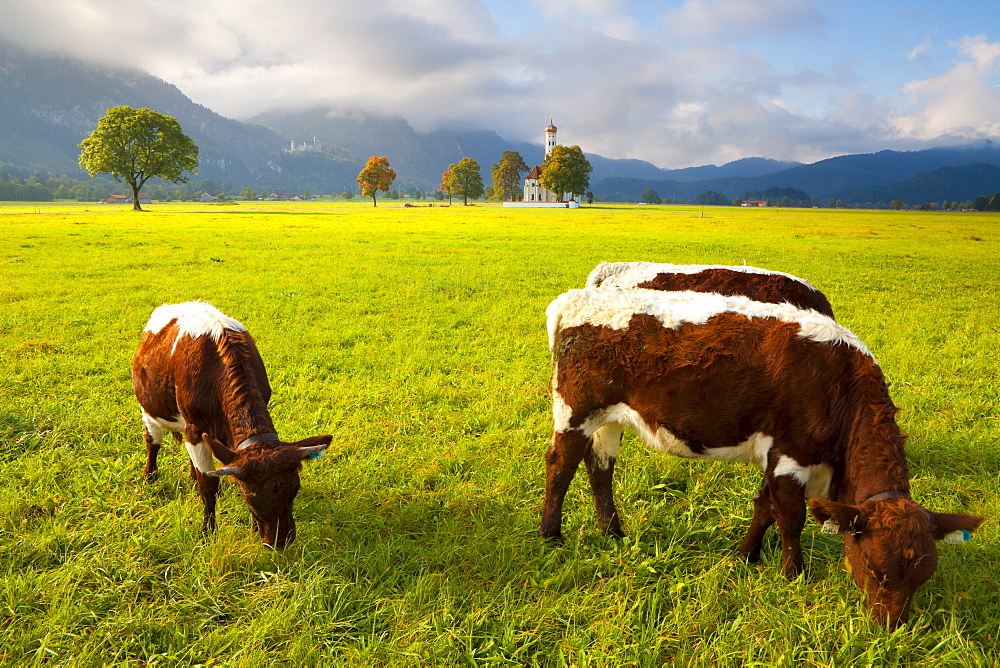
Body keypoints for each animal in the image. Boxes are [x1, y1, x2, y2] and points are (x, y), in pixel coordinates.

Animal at [133, 302, 332, 548]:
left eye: (295, 489)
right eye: (249, 495)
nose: (280, 540)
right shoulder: (195, 429)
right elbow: (209, 487)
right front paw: (207, 533)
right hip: (149, 409)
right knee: (152, 442)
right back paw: (150, 476)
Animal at [544, 288, 980, 628]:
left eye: (924, 576)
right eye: (874, 568)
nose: (891, 626)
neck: (839, 383)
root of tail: (576, 298)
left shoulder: (778, 455)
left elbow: (764, 507)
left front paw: (745, 556)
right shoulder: (791, 455)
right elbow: (791, 517)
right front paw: (794, 575)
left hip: (610, 418)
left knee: (600, 467)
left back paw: (612, 532)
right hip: (575, 409)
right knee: (560, 466)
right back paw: (551, 535)